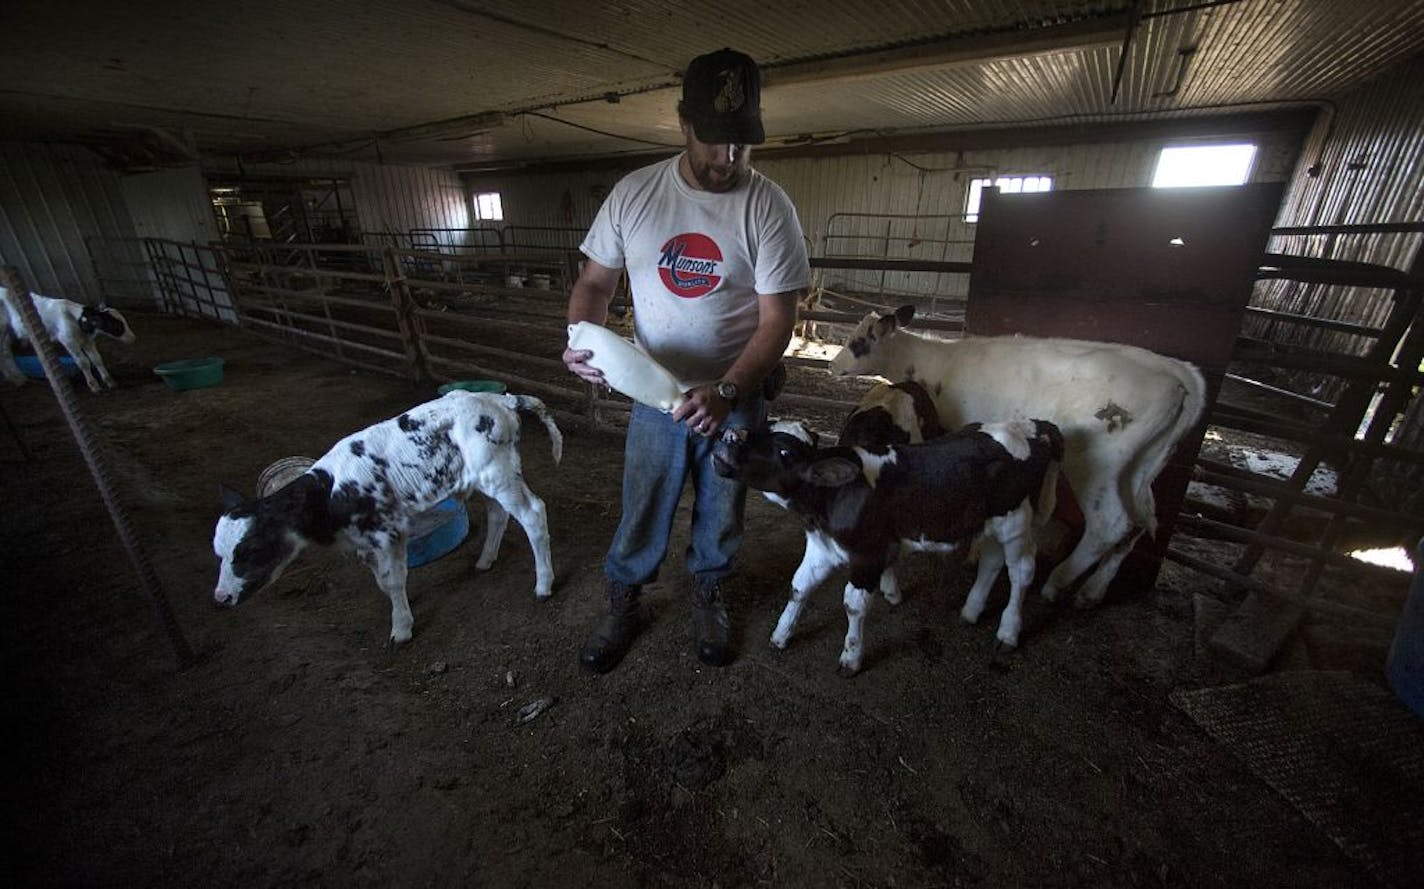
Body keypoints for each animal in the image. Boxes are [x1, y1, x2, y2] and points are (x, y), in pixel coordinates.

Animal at [0, 287, 135, 393]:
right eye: (115, 325)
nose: (133, 338)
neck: (75, 318)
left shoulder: (87, 341)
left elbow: (97, 359)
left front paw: (110, 381)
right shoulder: (68, 341)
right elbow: (83, 362)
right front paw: (94, 386)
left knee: (6, 352)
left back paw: (18, 379)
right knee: (4, 353)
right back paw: (17, 378)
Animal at [210, 393, 561, 641]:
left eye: (251, 550)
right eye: (219, 553)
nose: (221, 598)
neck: (330, 493)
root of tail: (499, 399)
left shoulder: (388, 531)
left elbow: (393, 579)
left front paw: (401, 629)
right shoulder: (364, 541)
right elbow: (382, 581)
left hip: (497, 473)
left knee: (533, 514)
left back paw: (543, 584)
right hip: (483, 478)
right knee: (498, 513)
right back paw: (485, 561)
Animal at [712, 416, 1059, 672]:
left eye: (785, 452)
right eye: (766, 425)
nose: (730, 435)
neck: (828, 500)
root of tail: (1034, 426)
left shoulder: (868, 553)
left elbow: (853, 604)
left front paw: (851, 657)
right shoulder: (821, 546)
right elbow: (799, 587)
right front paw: (781, 635)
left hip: (1016, 521)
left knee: (1021, 571)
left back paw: (1008, 632)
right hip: (989, 522)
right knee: (991, 560)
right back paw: (971, 611)